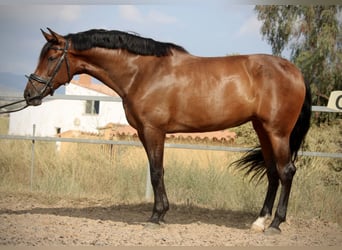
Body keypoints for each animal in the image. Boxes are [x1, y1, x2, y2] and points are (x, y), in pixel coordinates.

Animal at [24, 28, 312, 234]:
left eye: (51, 57)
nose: (29, 95)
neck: (143, 72)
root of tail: (295, 71)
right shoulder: (144, 132)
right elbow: (157, 170)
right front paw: (161, 213)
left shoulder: (154, 131)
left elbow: (156, 172)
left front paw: (156, 216)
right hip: (263, 130)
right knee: (273, 173)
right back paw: (259, 221)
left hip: (278, 132)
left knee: (286, 172)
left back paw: (275, 224)